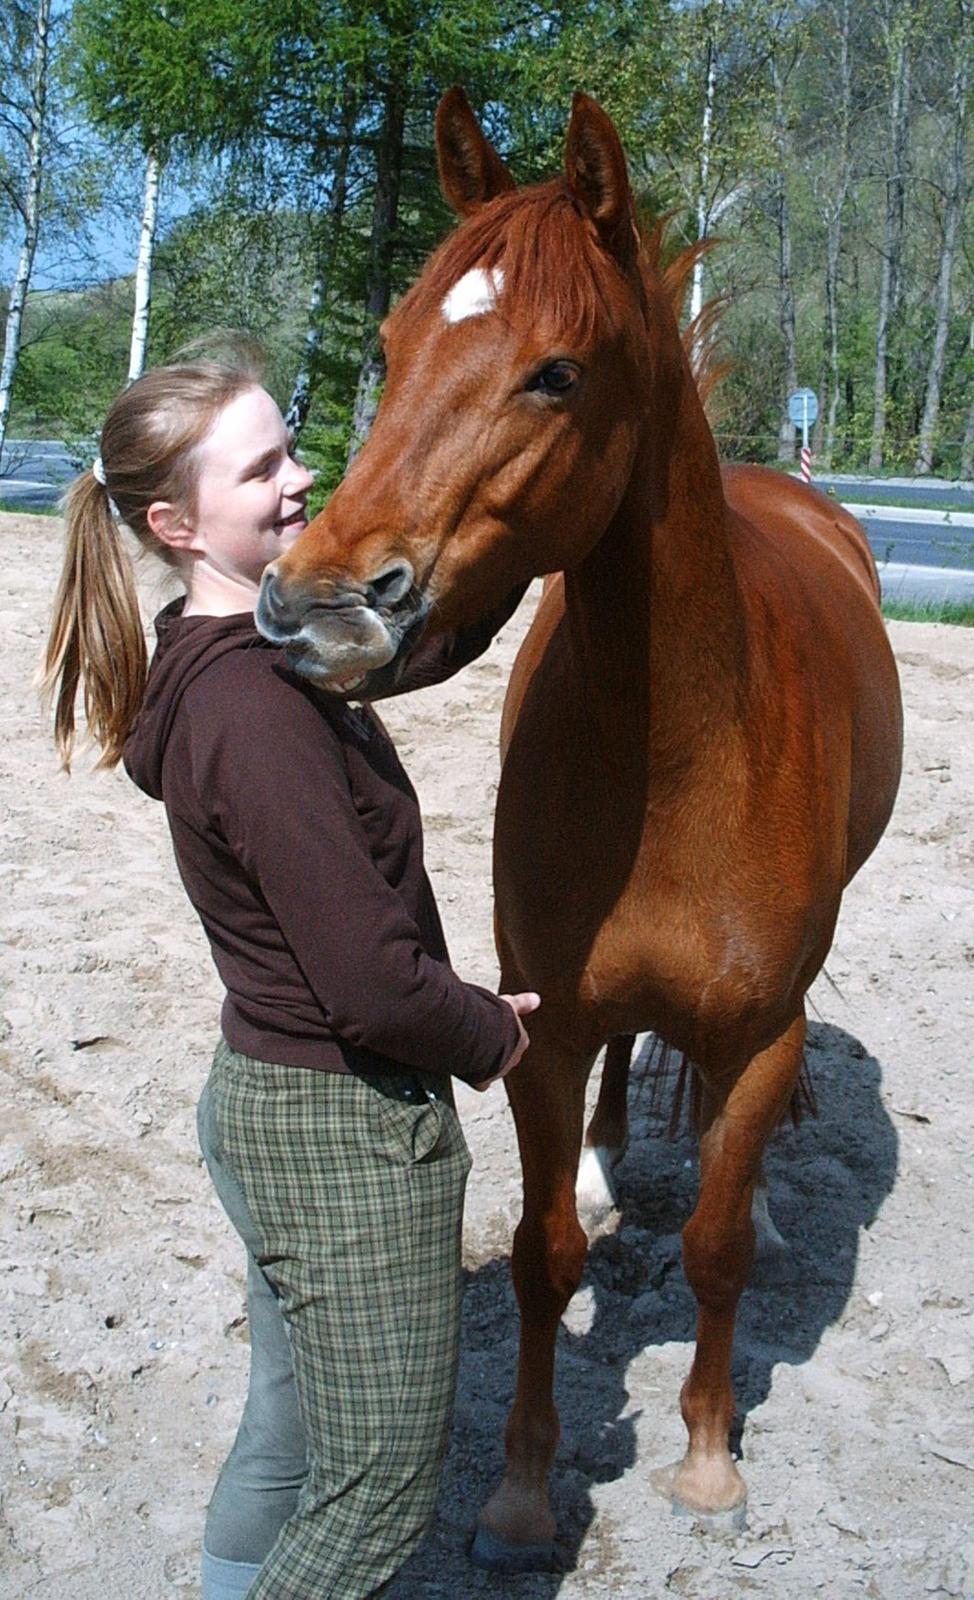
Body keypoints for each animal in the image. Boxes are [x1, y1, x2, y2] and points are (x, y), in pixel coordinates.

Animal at [254, 90, 902, 1574]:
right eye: (388, 346)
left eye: (554, 373)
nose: (313, 605)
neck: (679, 755)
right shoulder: (539, 1027)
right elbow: (542, 1254)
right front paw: (518, 1493)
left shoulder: (762, 1027)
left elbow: (714, 1248)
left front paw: (710, 1461)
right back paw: (613, 1169)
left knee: (728, 1140)